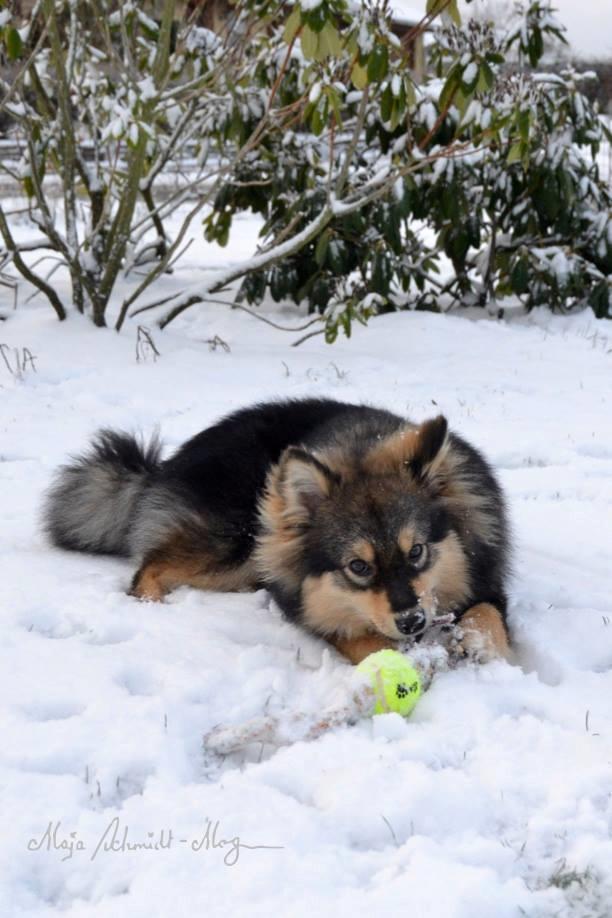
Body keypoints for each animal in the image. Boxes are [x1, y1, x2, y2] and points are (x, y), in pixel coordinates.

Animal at [44, 398, 512, 664]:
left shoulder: (487, 580)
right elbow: (357, 636)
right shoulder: (310, 604)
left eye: (416, 551)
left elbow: (489, 613)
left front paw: (481, 644)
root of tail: (161, 468)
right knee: (151, 567)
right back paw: (153, 609)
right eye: (358, 567)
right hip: (238, 545)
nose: (413, 621)